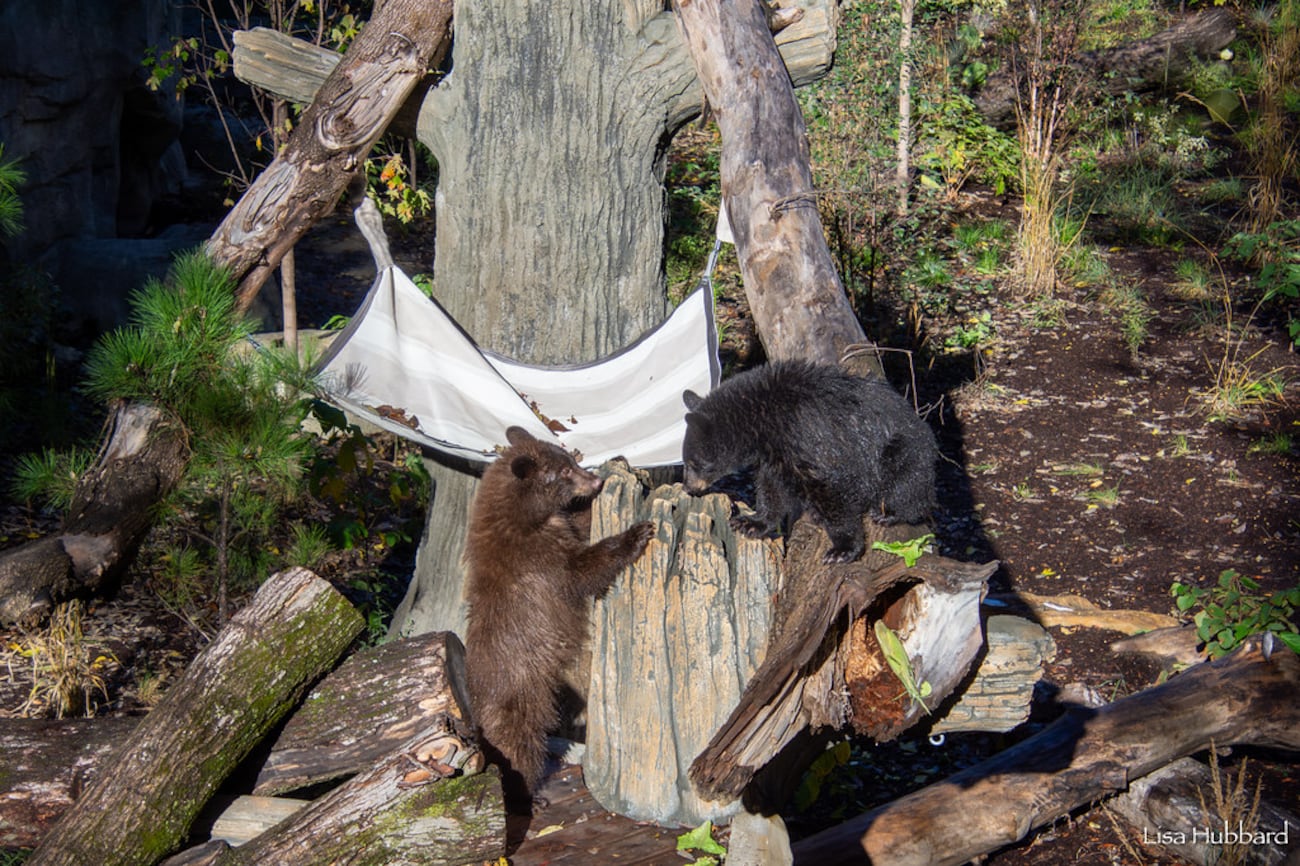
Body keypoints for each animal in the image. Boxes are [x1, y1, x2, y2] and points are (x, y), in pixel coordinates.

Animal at [463, 425, 654, 807]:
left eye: (570, 460)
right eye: (565, 471)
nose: (595, 481)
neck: (525, 519)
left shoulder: (556, 529)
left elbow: (581, 525)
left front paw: (623, 464)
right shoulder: (538, 563)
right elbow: (581, 571)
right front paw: (636, 535)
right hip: (521, 699)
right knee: (519, 750)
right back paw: (526, 796)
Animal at [681, 360, 937, 563]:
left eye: (694, 463)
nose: (688, 488)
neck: (765, 418)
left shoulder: (807, 437)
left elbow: (832, 489)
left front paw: (843, 549)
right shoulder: (775, 455)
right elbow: (772, 488)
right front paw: (752, 522)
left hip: (900, 453)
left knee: (906, 486)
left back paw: (889, 513)